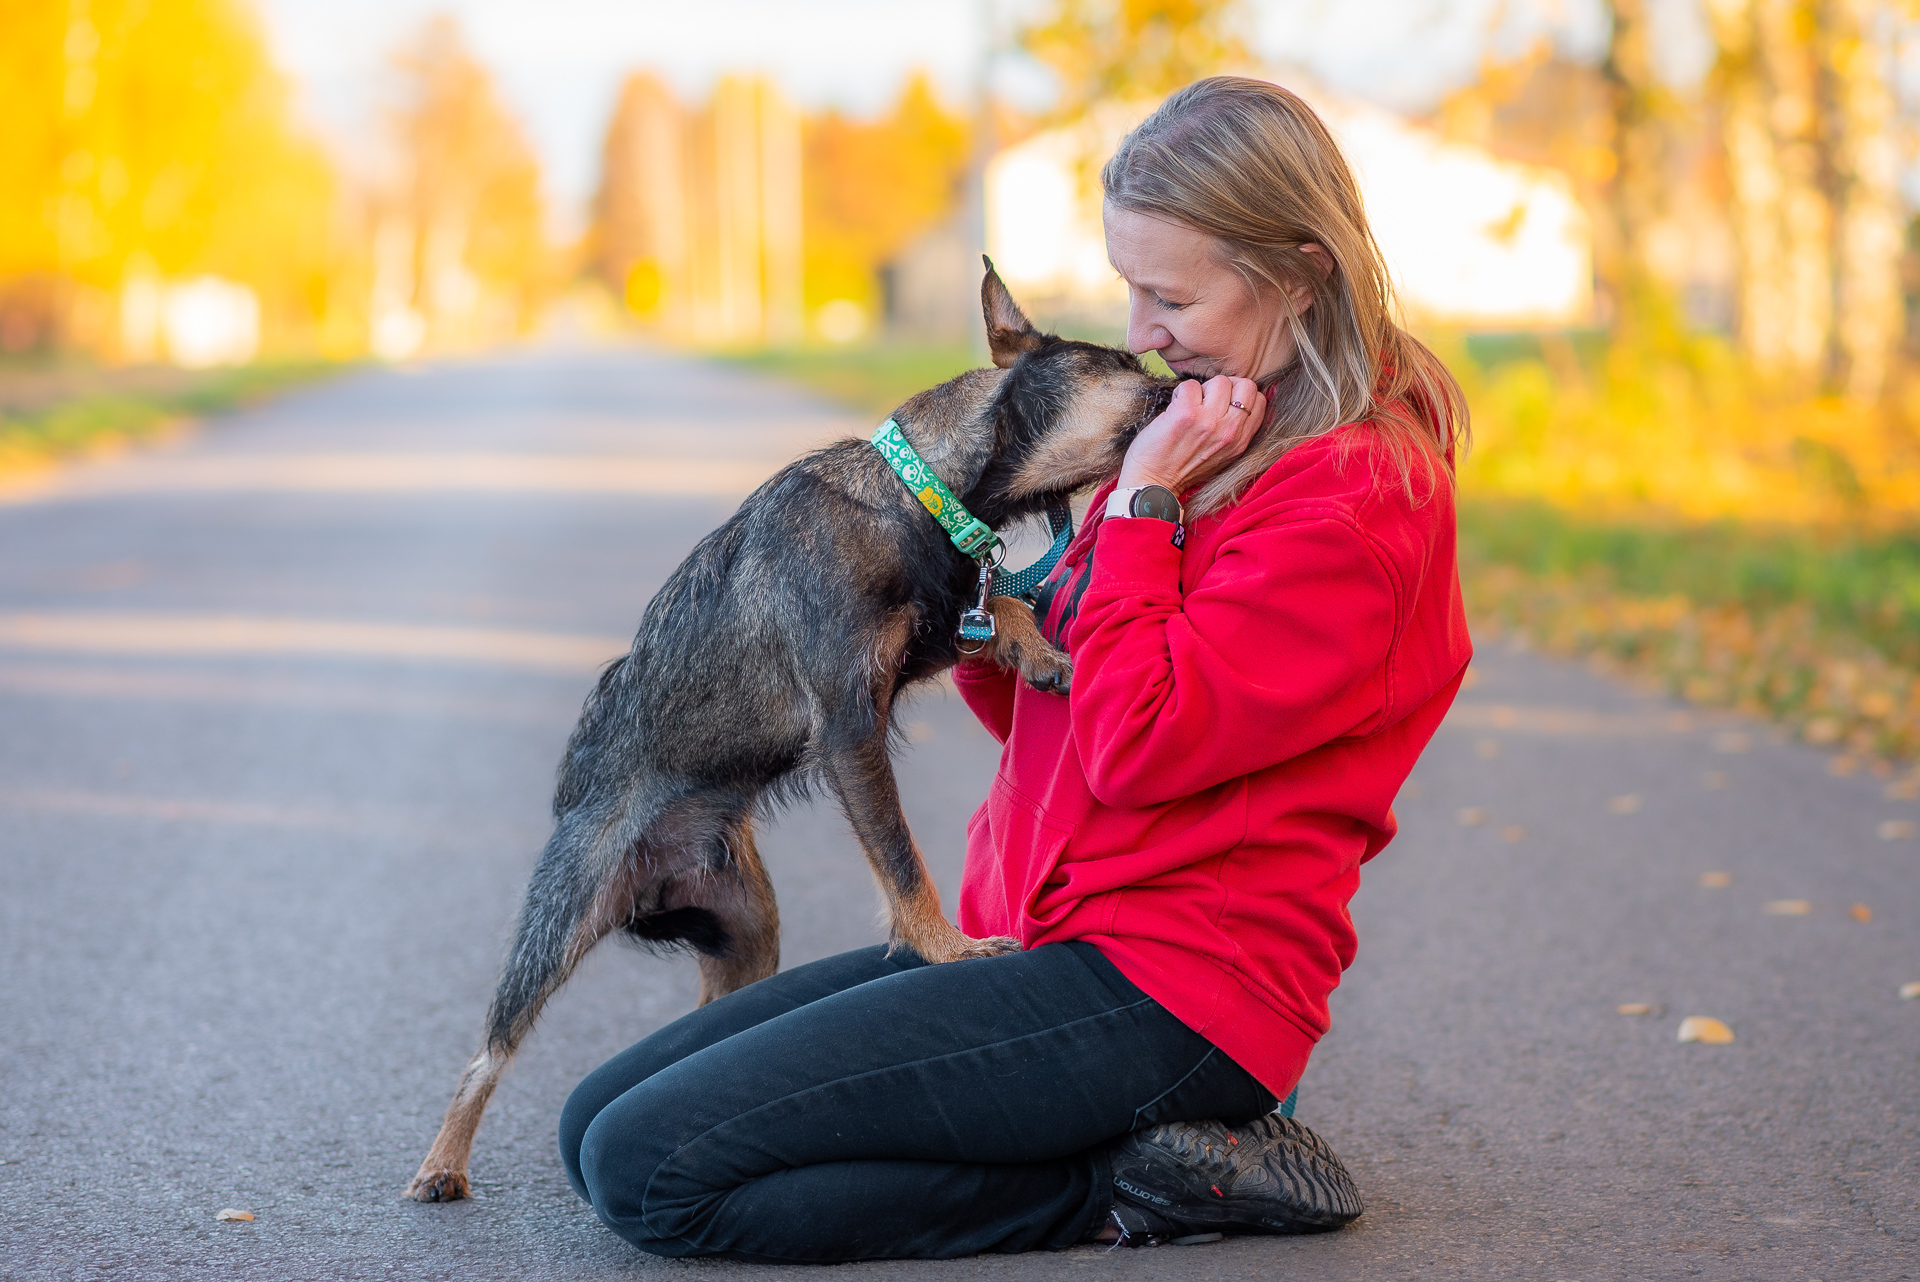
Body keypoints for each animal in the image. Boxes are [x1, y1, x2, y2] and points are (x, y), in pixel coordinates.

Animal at [408, 262, 1167, 1205]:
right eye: (1118, 361)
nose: (1176, 379)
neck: (921, 491)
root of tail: (648, 878)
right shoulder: (849, 723)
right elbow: (901, 858)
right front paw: (946, 949)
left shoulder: (921, 636)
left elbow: (998, 606)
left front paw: (1037, 648)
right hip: (558, 920)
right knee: (489, 1052)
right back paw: (442, 1162)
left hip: (748, 933)